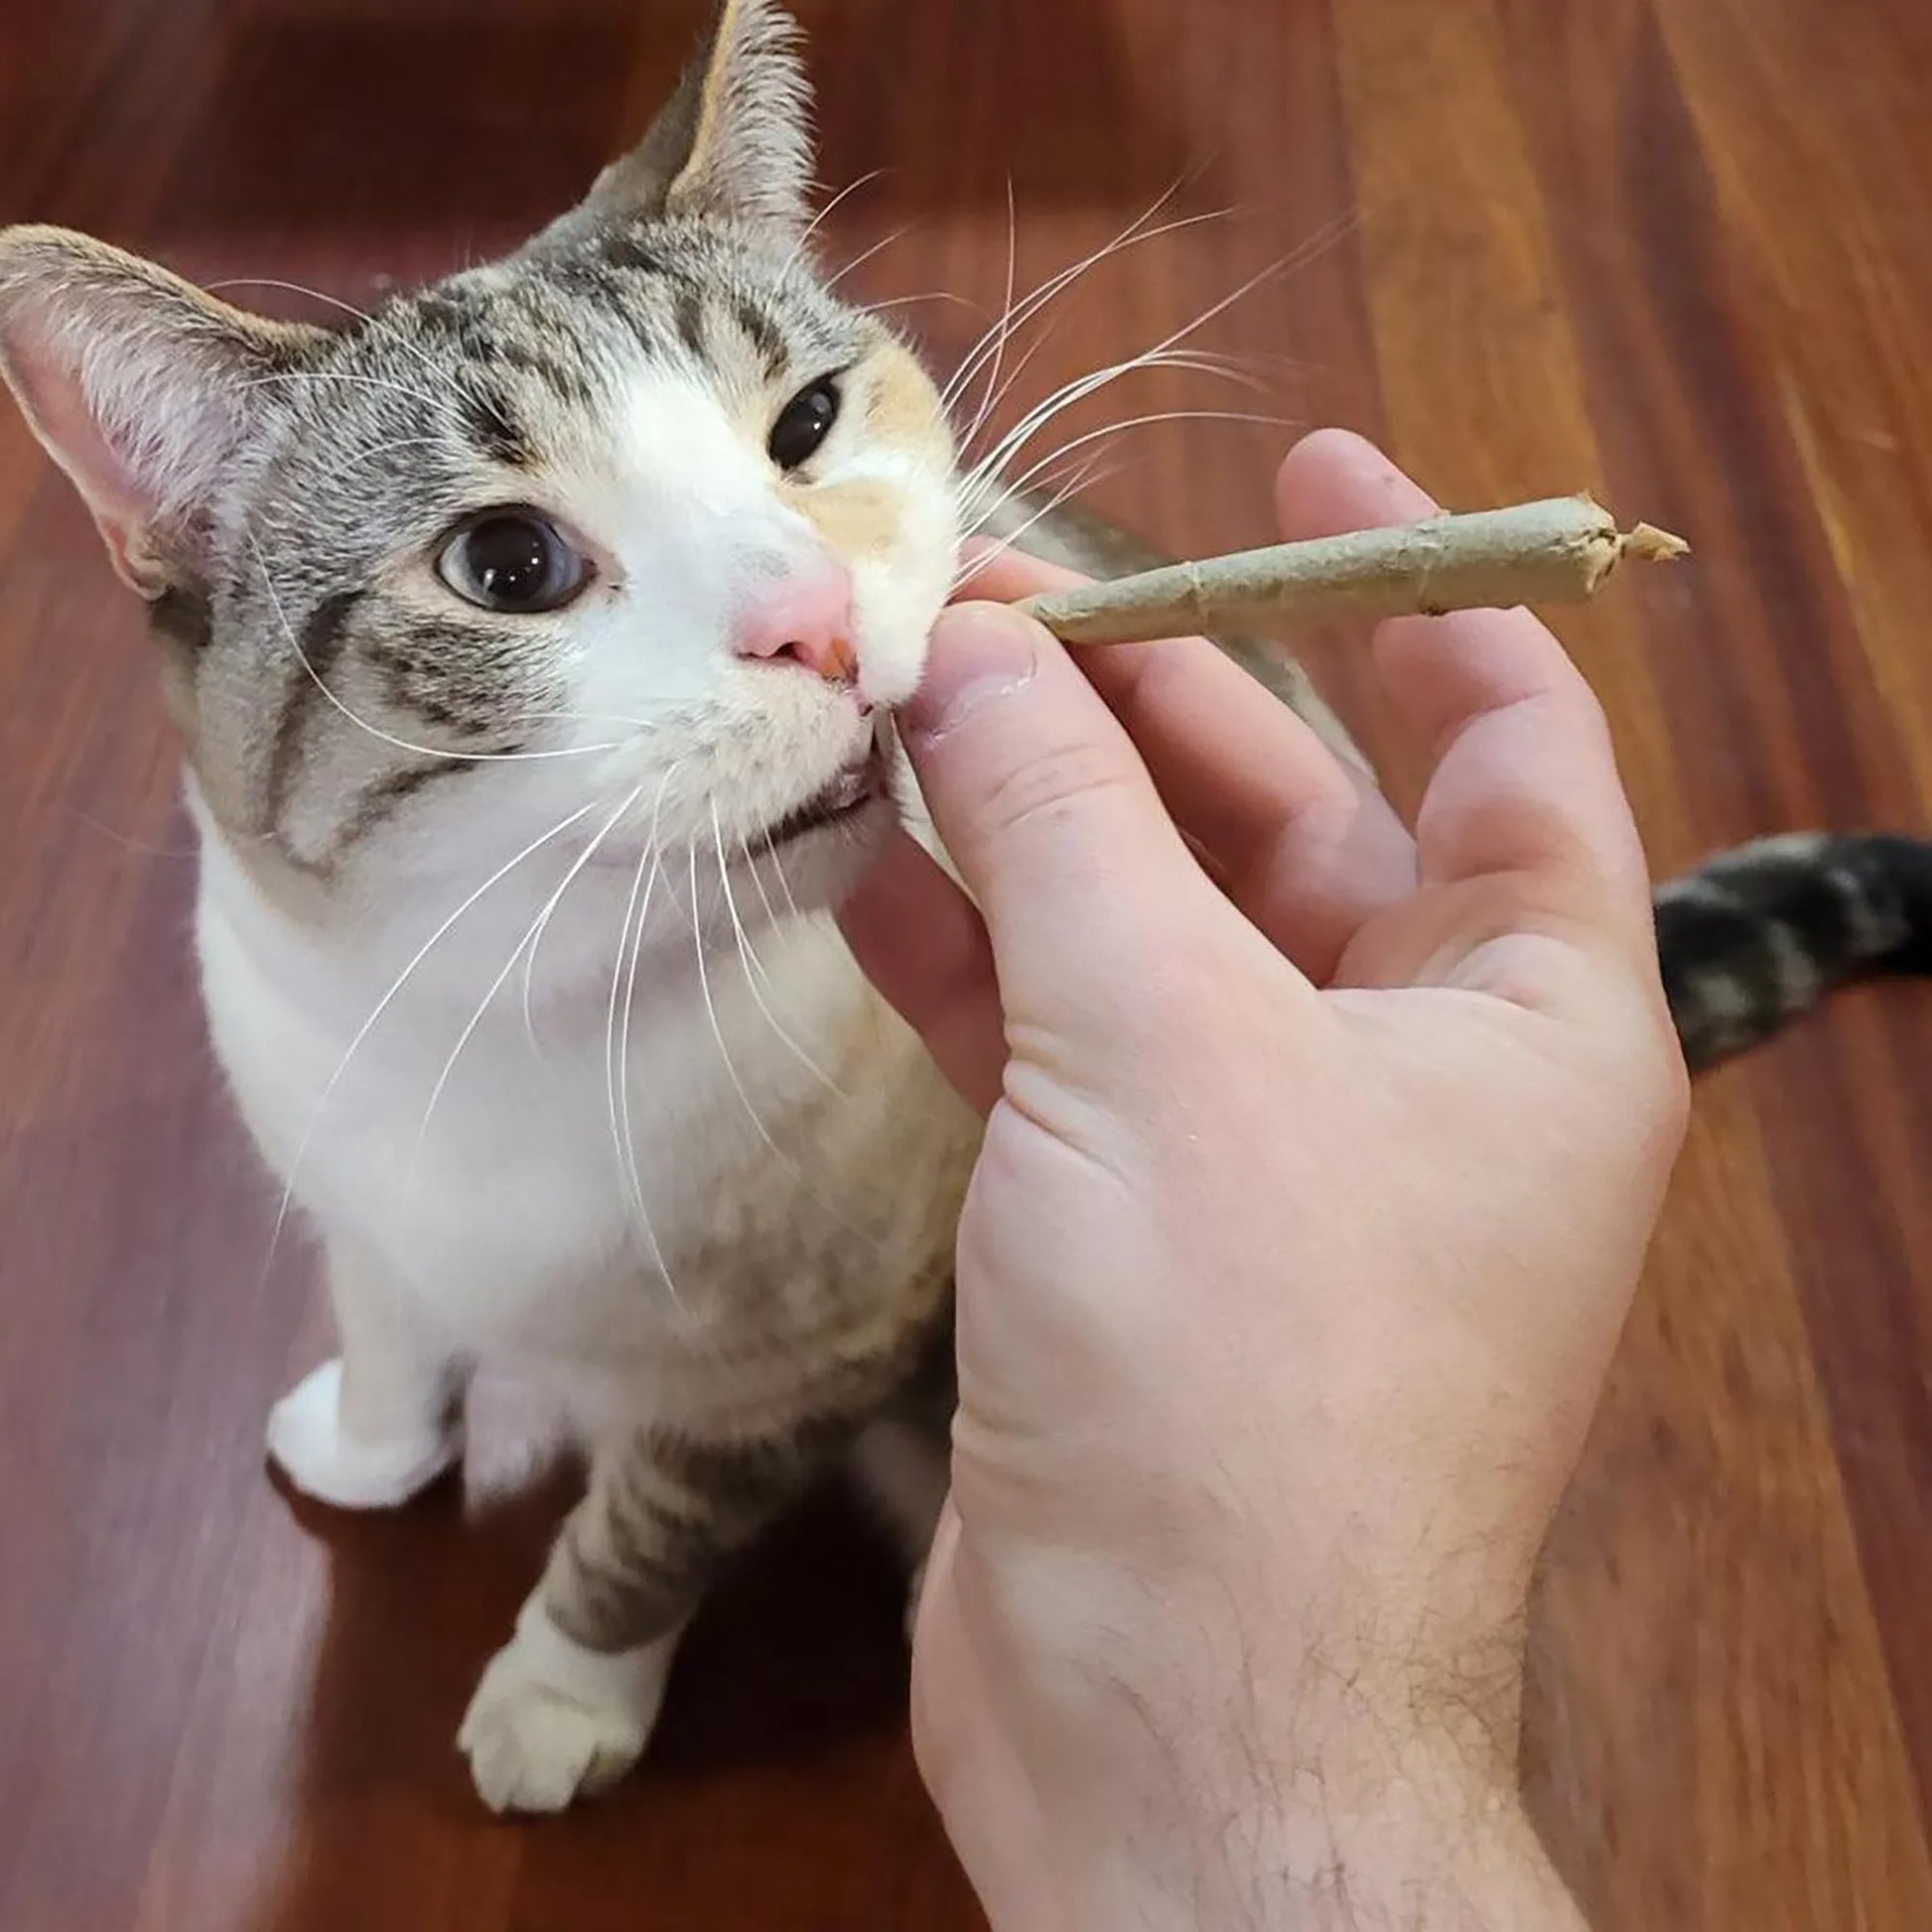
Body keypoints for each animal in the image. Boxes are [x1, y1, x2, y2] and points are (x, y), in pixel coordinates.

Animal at [3, 0, 1932, 1808]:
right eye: (505, 564)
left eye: (803, 423)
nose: (816, 620)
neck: (510, 1004)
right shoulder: (349, 1172)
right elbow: (390, 1325)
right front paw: (368, 1446)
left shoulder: (798, 1365)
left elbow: (641, 1538)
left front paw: (558, 1697)